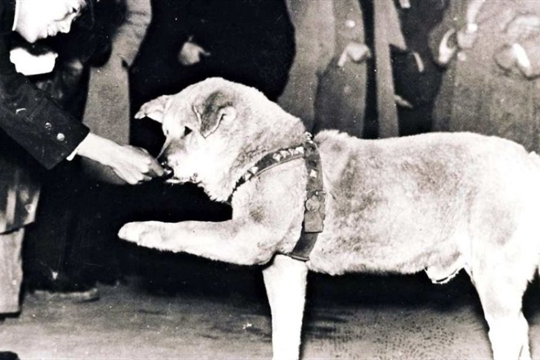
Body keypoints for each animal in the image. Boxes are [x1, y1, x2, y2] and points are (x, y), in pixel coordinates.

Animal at [119, 77, 540, 358]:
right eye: (165, 132)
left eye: (189, 131)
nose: (162, 166)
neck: (267, 153)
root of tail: (529, 163)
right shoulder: (284, 267)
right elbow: (286, 335)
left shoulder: (247, 238)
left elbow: (187, 228)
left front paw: (141, 229)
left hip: (495, 278)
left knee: (512, 334)